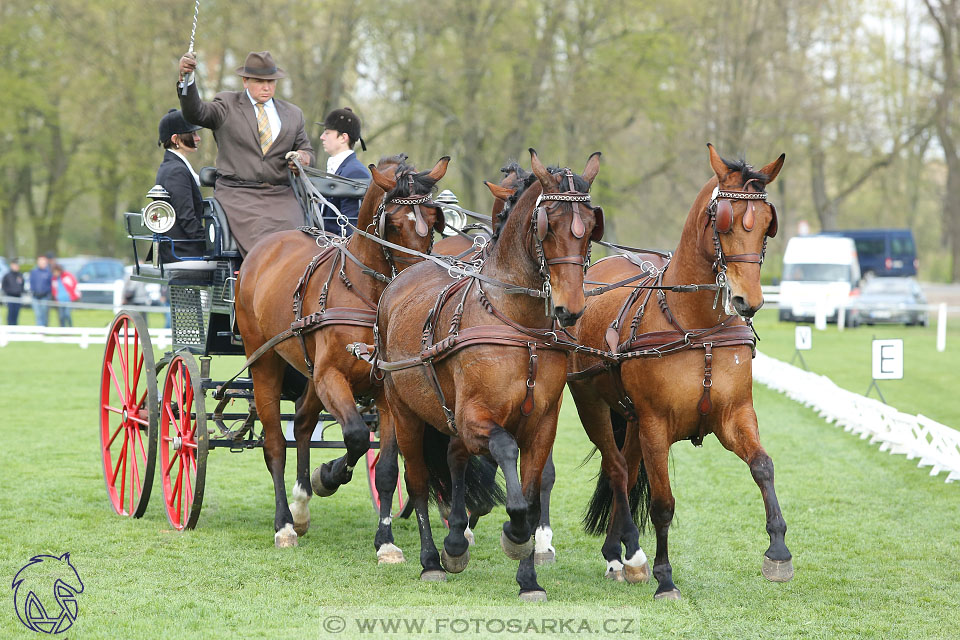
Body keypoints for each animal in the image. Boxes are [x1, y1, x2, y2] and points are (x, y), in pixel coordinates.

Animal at [238, 154, 452, 544]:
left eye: (433, 221)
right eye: (393, 224)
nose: (419, 286)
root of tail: (267, 245)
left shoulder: (384, 389)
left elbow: (386, 467)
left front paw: (386, 542)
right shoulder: (331, 376)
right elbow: (355, 436)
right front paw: (330, 476)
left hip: (309, 370)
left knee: (303, 422)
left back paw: (301, 505)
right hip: (264, 360)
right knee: (275, 443)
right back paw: (285, 523)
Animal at [376, 150, 600, 600]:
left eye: (589, 227)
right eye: (548, 224)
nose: (569, 308)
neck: (519, 327)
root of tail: (400, 279)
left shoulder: (542, 425)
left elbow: (531, 491)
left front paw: (528, 574)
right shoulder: (475, 417)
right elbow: (505, 451)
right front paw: (514, 533)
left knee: (453, 458)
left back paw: (456, 542)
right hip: (404, 412)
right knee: (417, 480)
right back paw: (431, 559)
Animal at [568, 142, 792, 596]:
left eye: (766, 224)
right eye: (723, 221)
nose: (749, 300)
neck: (696, 325)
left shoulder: (734, 414)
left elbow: (763, 466)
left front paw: (777, 550)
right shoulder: (656, 423)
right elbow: (663, 503)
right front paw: (664, 576)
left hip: (632, 418)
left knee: (627, 469)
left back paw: (619, 551)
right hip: (592, 404)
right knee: (617, 469)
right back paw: (629, 555)